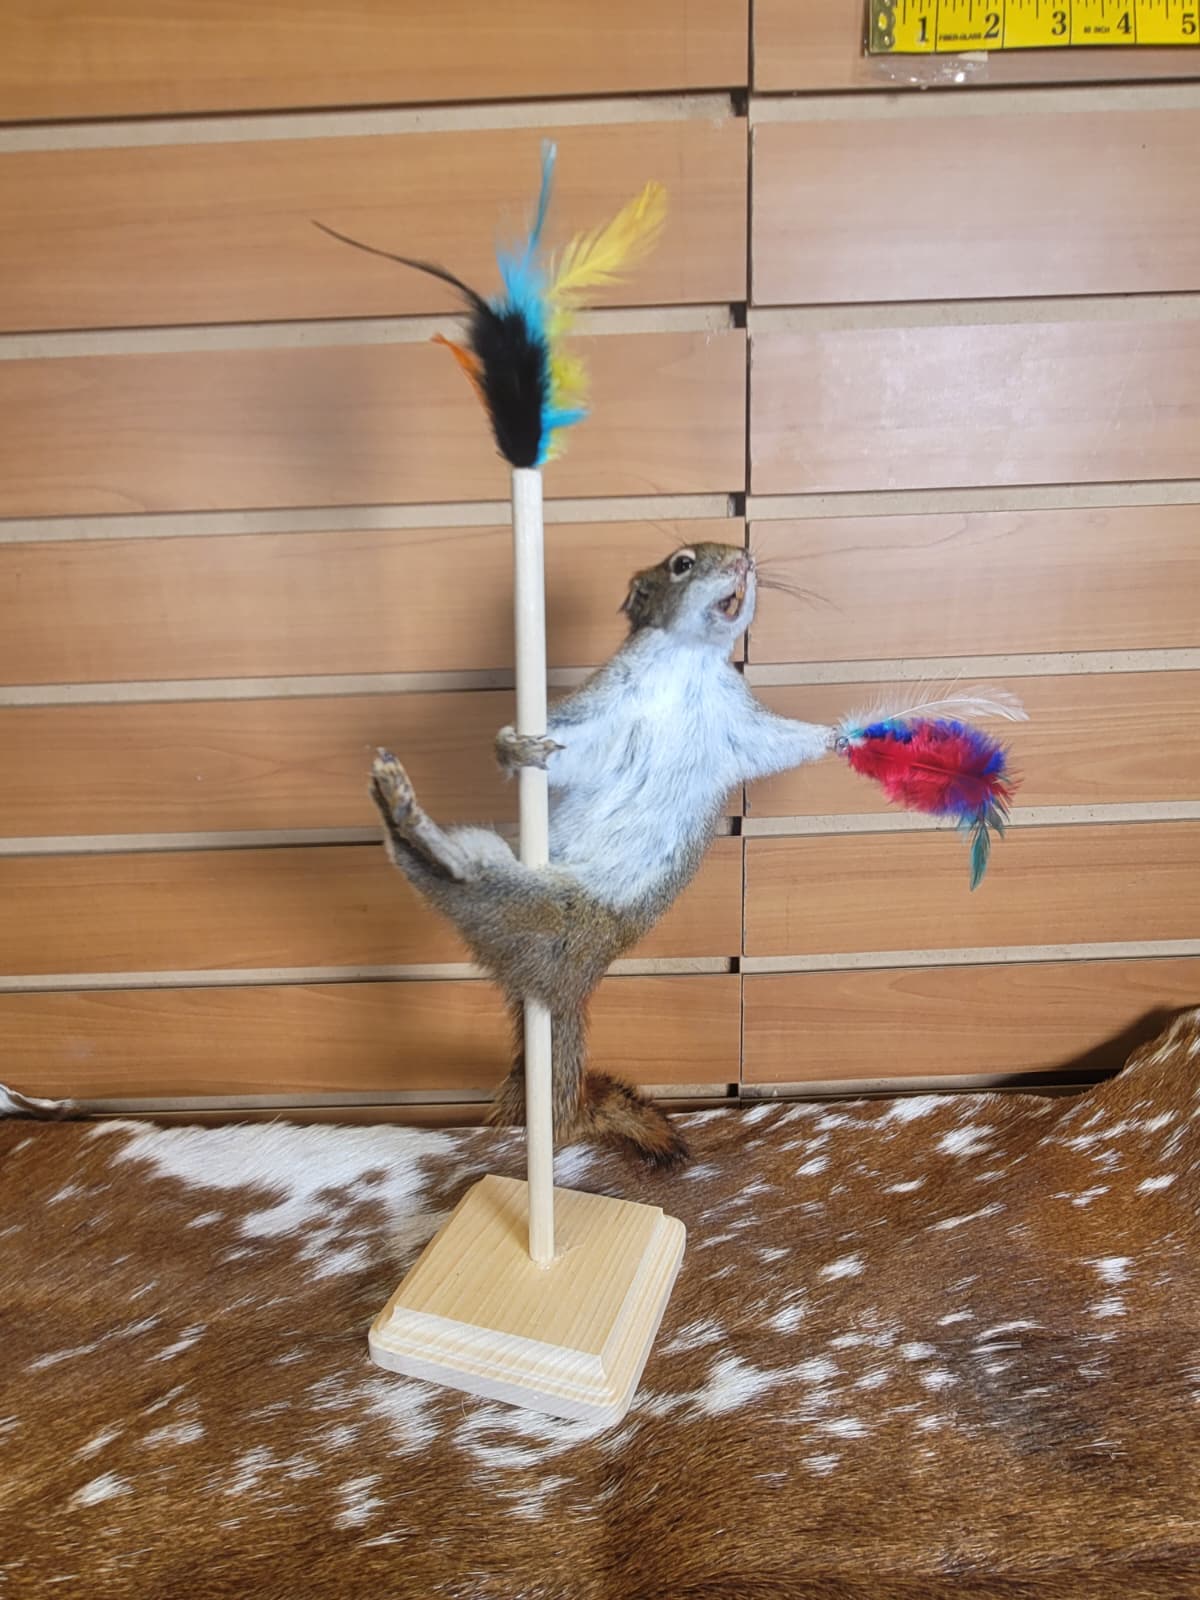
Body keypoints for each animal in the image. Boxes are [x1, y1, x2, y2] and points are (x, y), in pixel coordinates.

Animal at [369, 541, 833, 1170]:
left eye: (738, 556)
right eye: (682, 563)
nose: (745, 561)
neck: (689, 662)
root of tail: (560, 988)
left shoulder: (741, 726)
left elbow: (785, 744)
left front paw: (841, 736)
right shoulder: (610, 703)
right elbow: (570, 748)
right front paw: (513, 747)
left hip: (522, 911)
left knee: (438, 869)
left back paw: (399, 808)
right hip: (526, 905)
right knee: (445, 870)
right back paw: (399, 803)